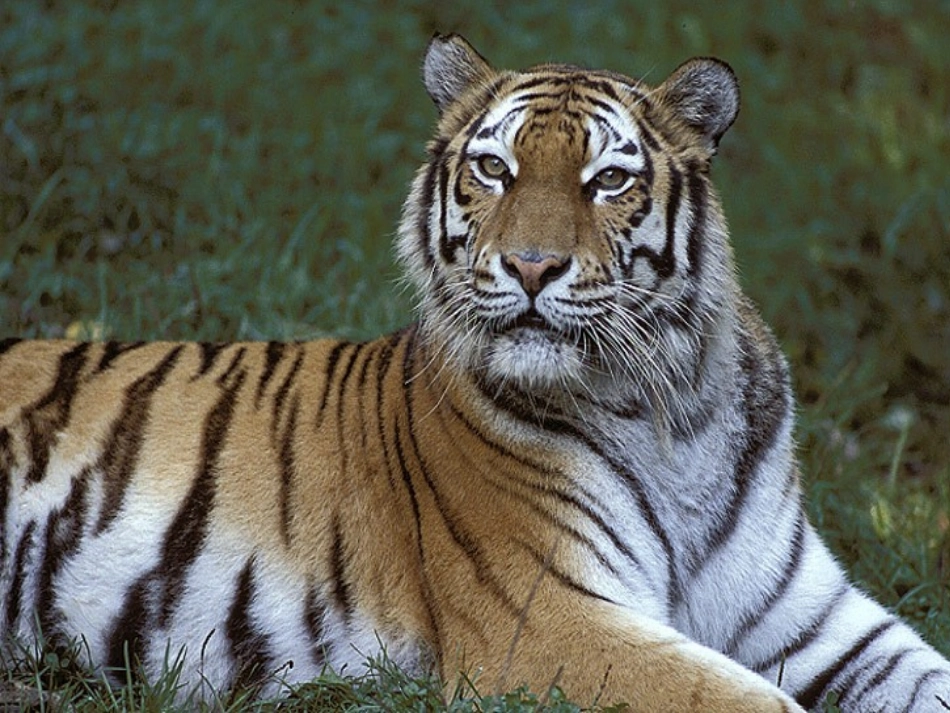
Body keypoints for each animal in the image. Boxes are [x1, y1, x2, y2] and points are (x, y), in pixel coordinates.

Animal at [1, 32, 948, 712]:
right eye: (495, 168)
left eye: (608, 180)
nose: (531, 267)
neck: (675, 411)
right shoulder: (550, 618)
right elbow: (748, 700)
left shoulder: (813, 617)